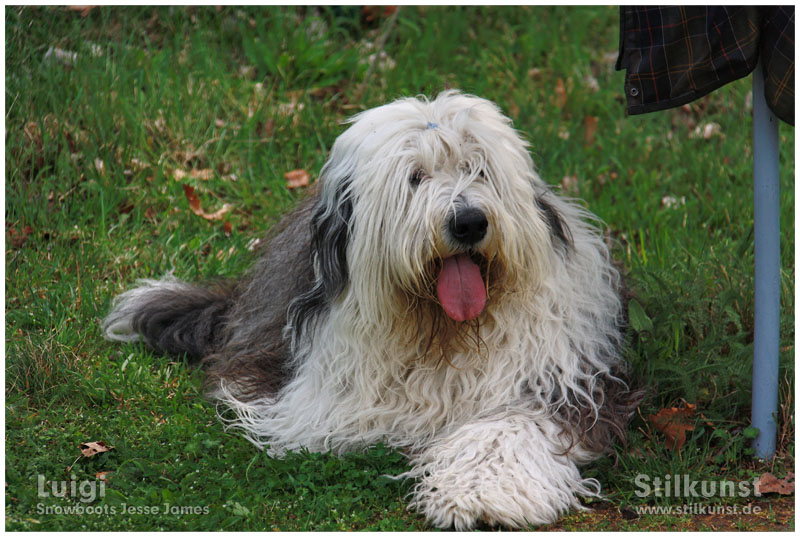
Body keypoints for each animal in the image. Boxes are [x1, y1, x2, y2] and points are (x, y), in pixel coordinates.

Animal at [103, 91, 636, 528]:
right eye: (415, 177)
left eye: (480, 169)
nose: (468, 222)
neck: (444, 332)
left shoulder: (557, 378)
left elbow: (508, 427)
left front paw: (481, 495)